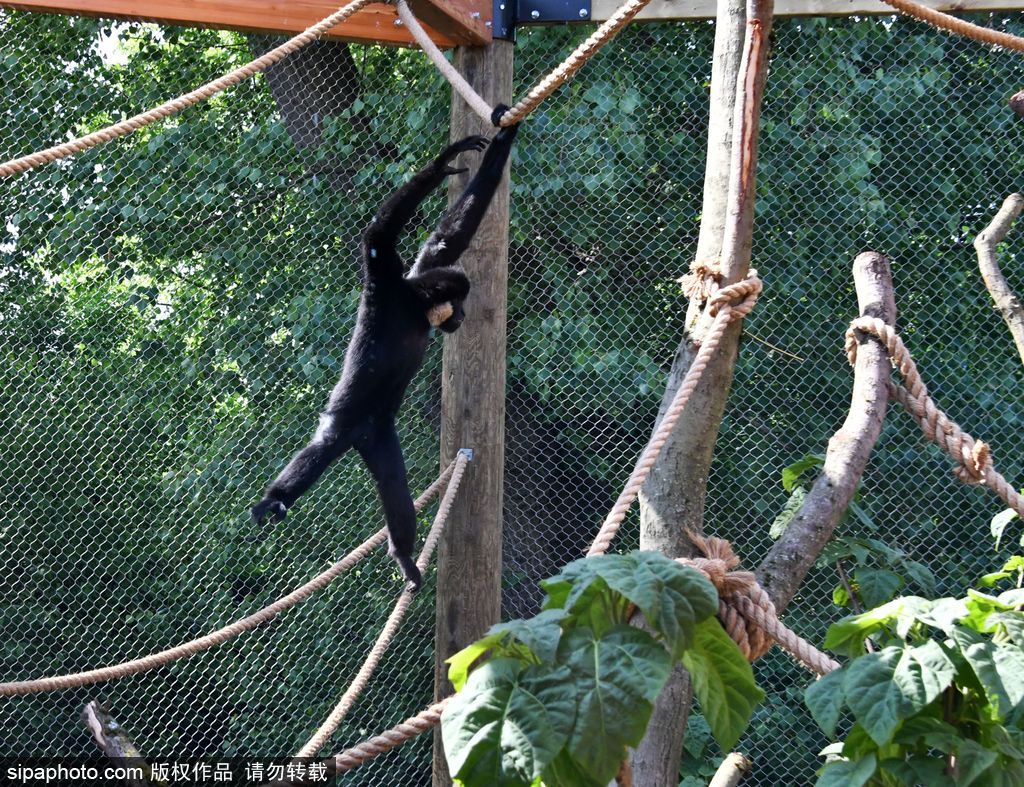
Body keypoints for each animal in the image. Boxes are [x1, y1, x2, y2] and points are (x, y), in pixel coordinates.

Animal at [252, 108, 519, 590]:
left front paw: (503, 138)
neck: (413, 305)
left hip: (381, 436)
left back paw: (403, 555)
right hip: (348, 419)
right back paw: (274, 500)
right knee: (324, 446)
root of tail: (363, 433)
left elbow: (447, 238)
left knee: (395, 486)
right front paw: (443, 163)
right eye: (461, 301)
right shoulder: (387, 283)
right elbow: (378, 236)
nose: (463, 315)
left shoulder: (420, 268)